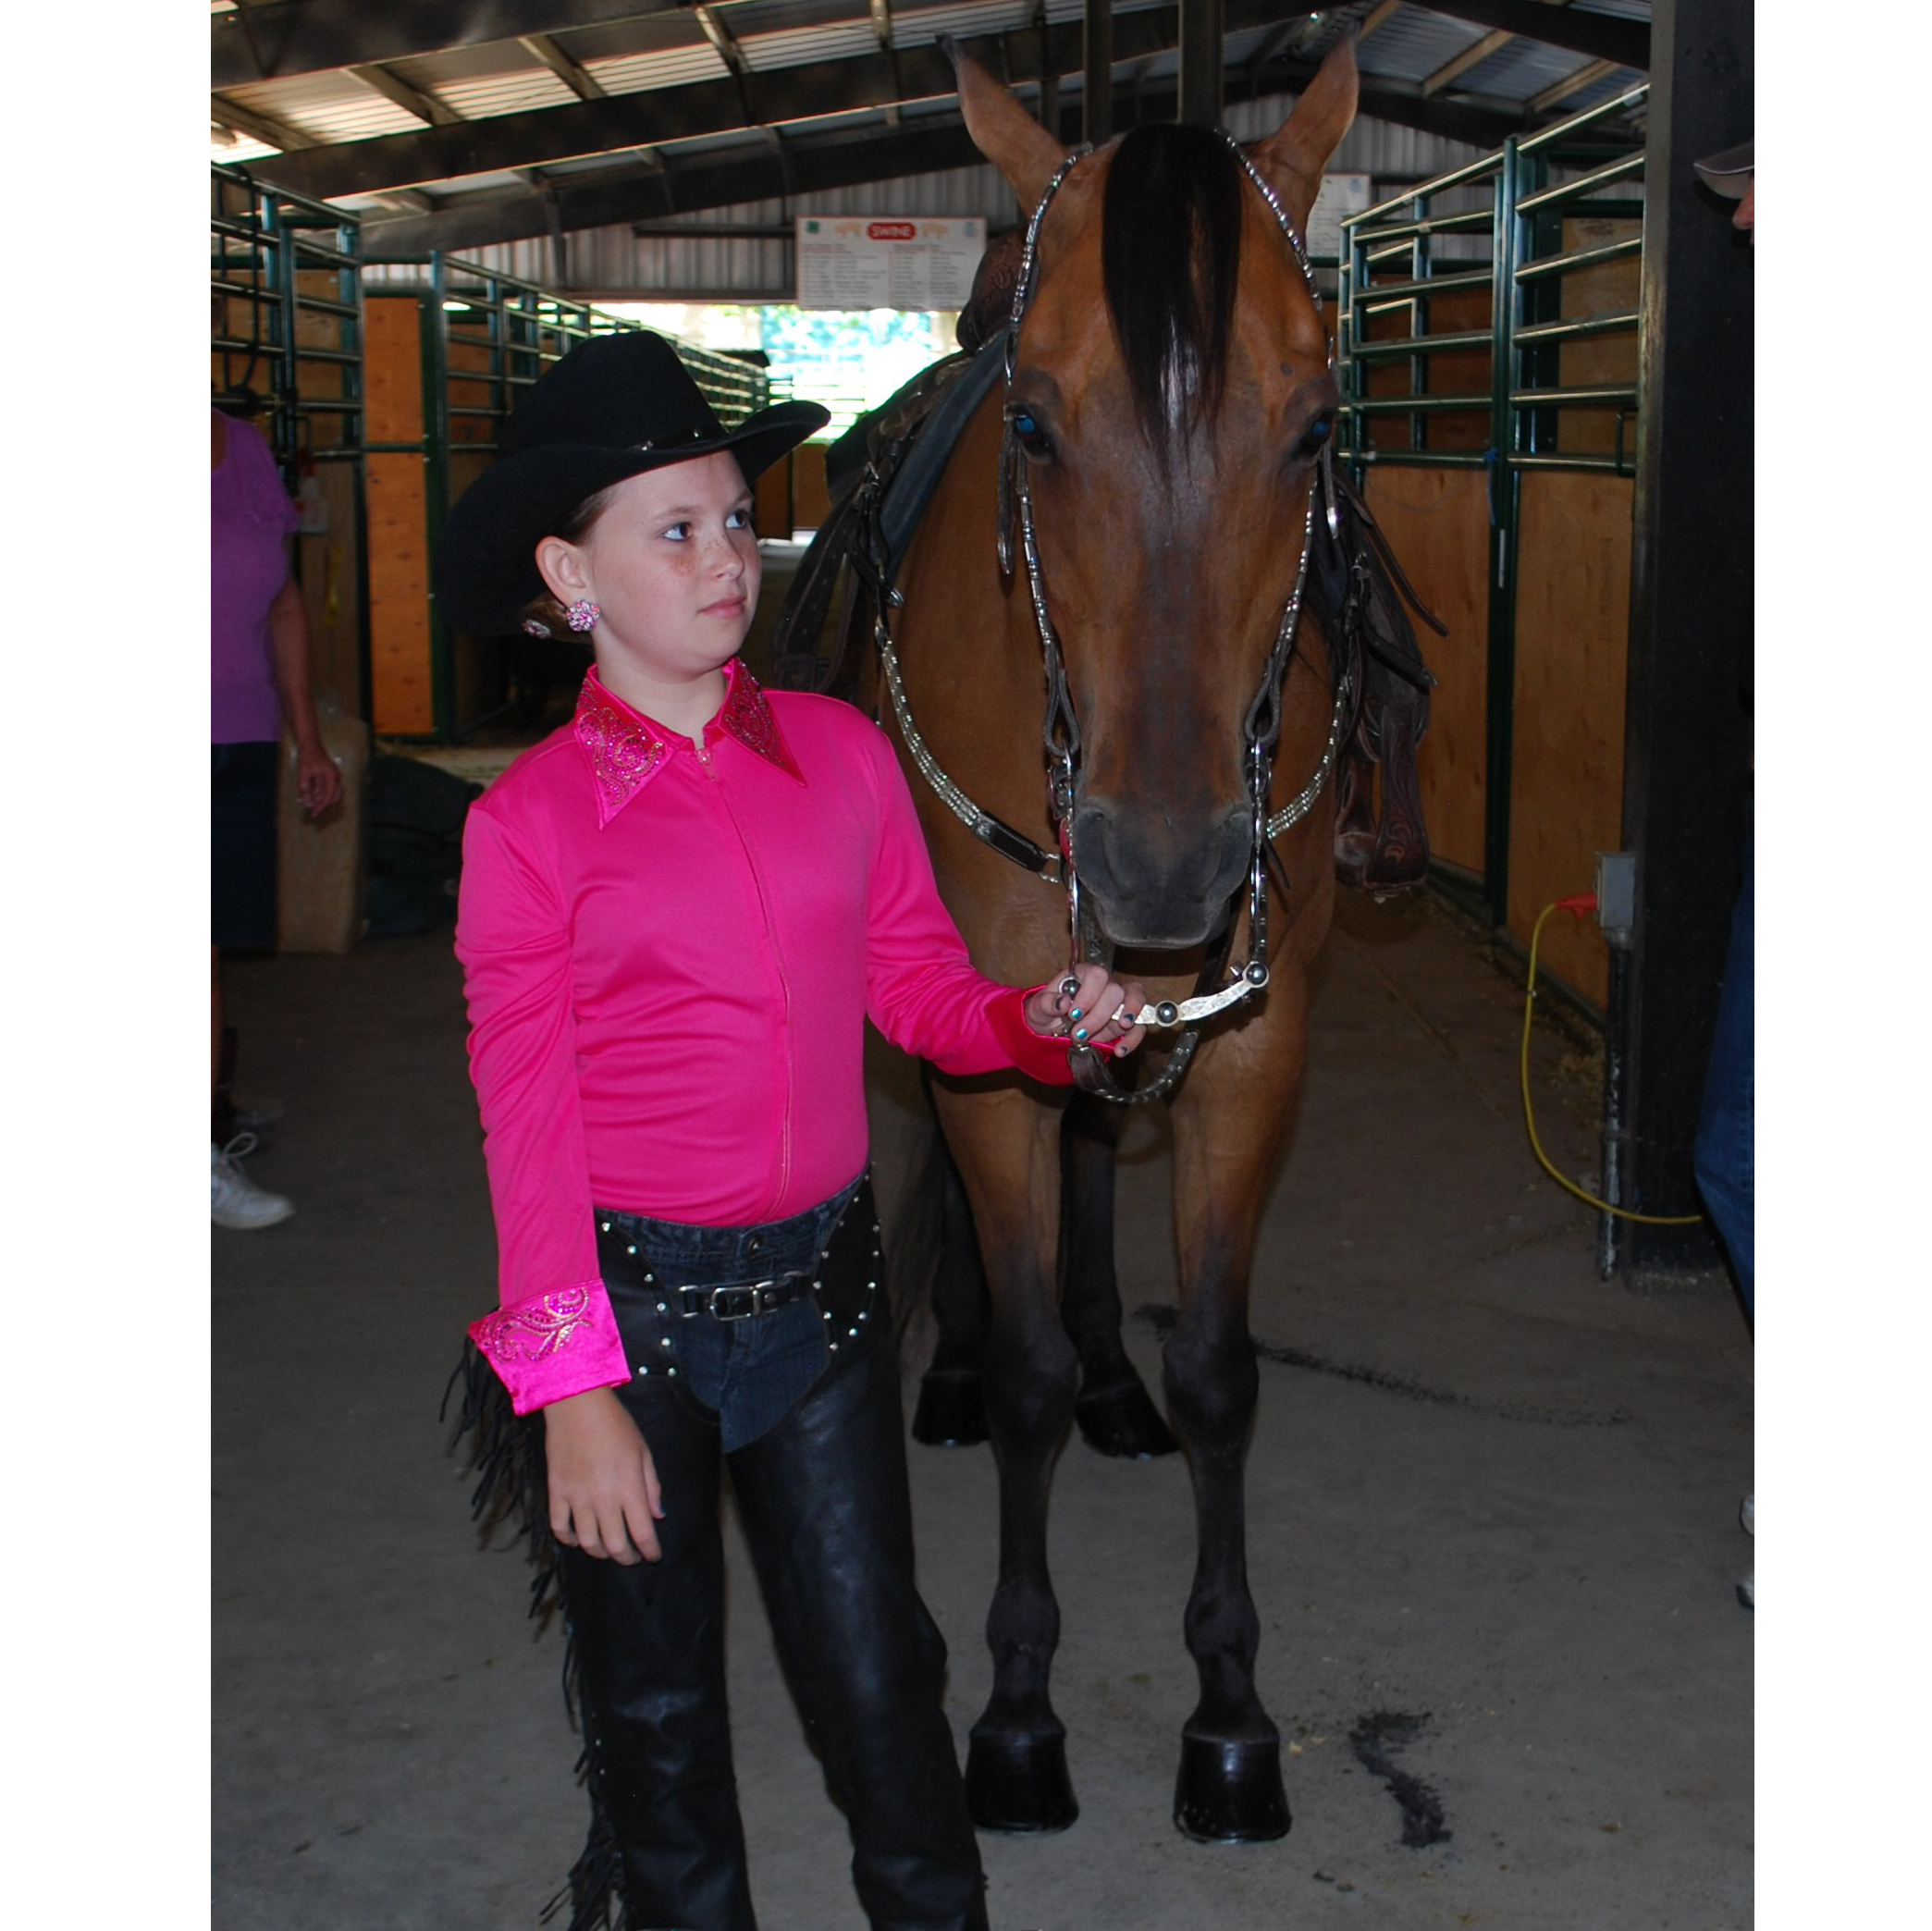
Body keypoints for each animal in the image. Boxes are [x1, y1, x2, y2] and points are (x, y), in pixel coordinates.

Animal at [854, 38, 1365, 1842]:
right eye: (1030, 419)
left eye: (1312, 427)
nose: (1160, 868)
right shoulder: (983, 1044)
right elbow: (1013, 1383)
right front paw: (1013, 1714)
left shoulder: (1255, 1048)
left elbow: (1218, 1369)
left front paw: (1229, 1717)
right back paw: (950, 1373)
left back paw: (1106, 1376)